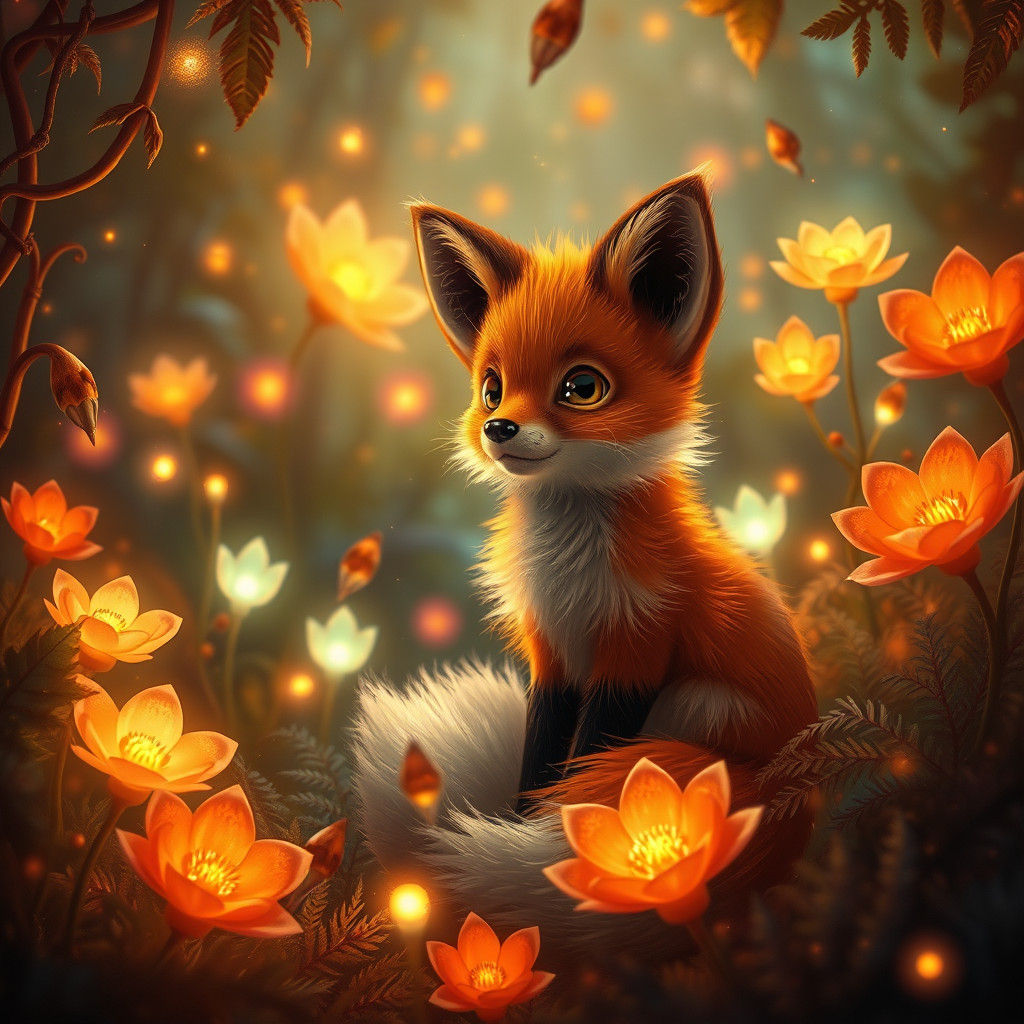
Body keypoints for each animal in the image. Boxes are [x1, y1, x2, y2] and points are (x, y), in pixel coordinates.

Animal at [351, 172, 818, 955]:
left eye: (582, 387)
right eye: (491, 386)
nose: (498, 427)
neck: (571, 573)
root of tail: (795, 793)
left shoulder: (636, 648)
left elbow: (583, 761)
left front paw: (553, 845)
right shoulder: (553, 652)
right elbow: (540, 759)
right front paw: (518, 826)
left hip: (699, 707)